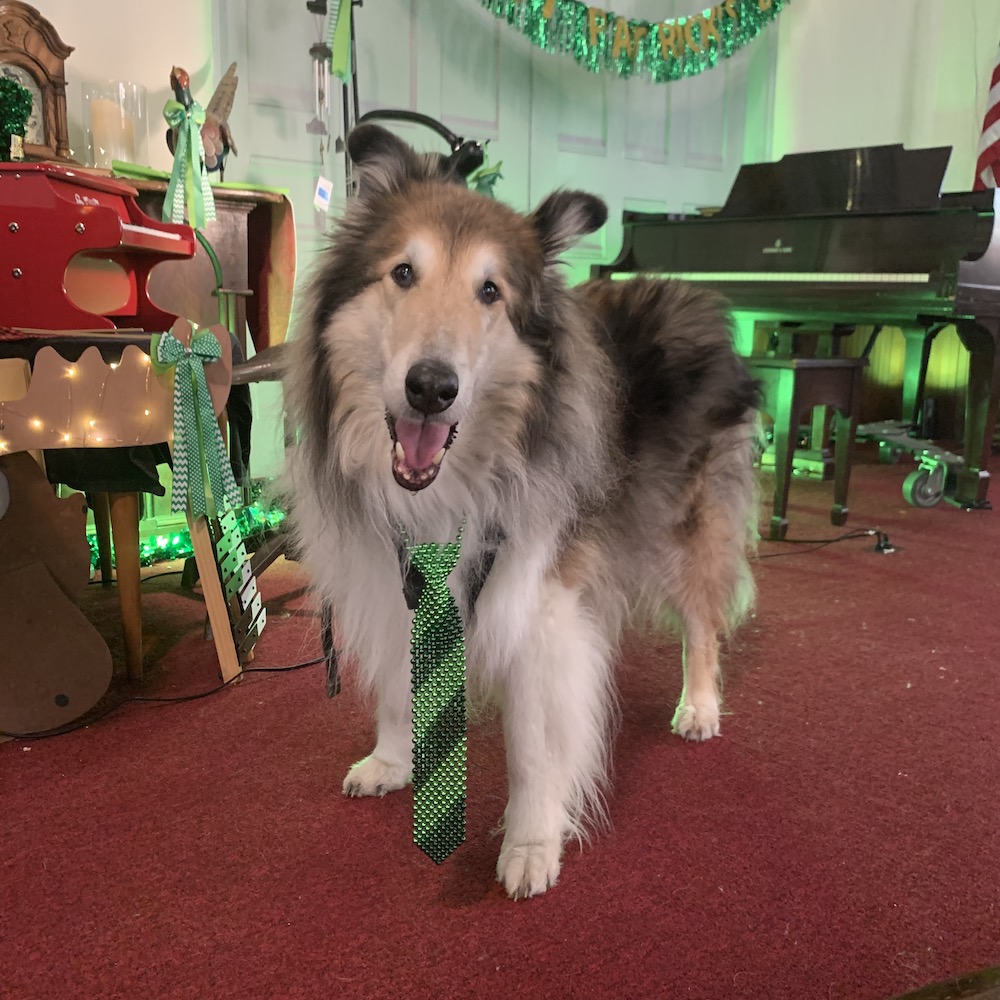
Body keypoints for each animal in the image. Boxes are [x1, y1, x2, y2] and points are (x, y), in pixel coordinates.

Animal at [284, 125, 756, 900]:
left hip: (687, 525)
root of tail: (688, 292)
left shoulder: (541, 607)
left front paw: (532, 842)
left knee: (702, 623)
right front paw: (393, 759)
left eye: (490, 291)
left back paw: (699, 707)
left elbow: (536, 744)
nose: (430, 388)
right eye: (403, 273)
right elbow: (400, 682)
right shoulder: (398, 580)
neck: (451, 488)